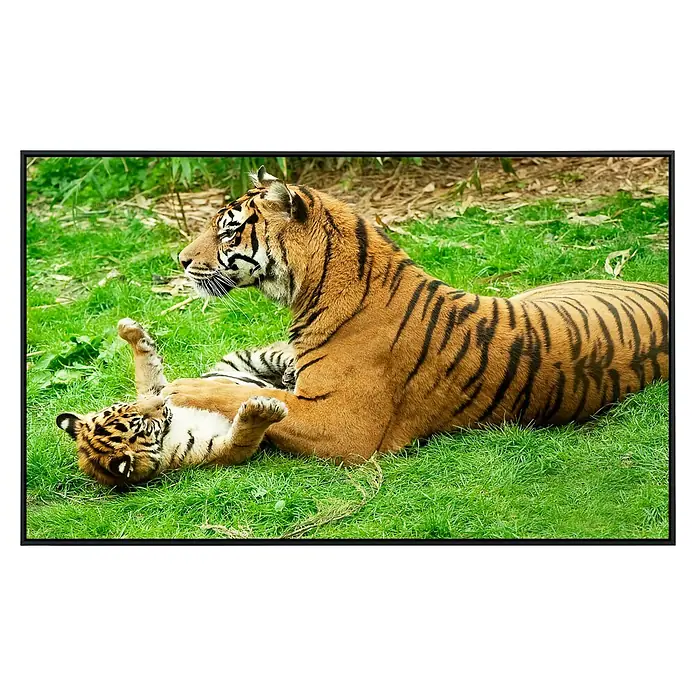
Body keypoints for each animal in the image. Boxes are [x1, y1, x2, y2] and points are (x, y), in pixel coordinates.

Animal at [55, 318, 295, 486]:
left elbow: (146, 369)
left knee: (285, 353)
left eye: (129, 406)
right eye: (143, 423)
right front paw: (262, 411)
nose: (163, 403)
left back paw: (291, 372)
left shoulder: (155, 389)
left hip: (250, 359)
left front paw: (130, 331)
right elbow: (243, 436)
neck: (169, 431)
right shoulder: (219, 449)